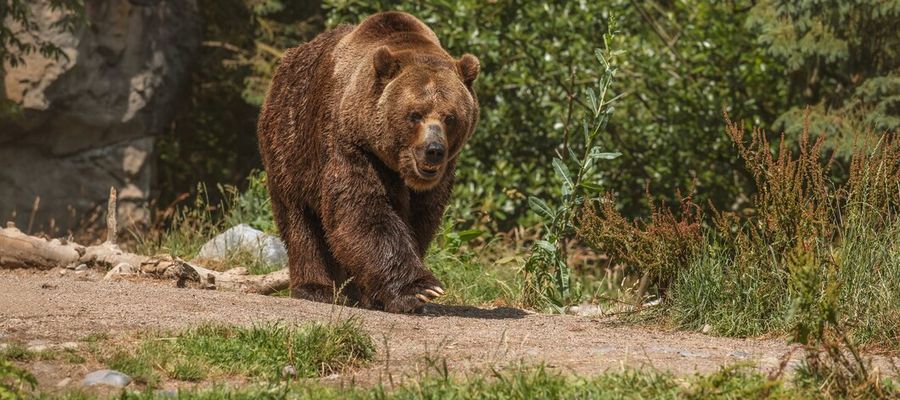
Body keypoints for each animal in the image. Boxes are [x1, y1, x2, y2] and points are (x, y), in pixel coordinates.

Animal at [255, 11, 478, 312]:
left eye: (450, 117)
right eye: (415, 114)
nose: (433, 150)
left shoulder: (435, 181)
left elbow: (420, 220)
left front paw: (382, 294)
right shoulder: (352, 144)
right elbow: (362, 210)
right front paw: (420, 289)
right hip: (290, 143)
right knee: (299, 219)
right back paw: (315, 287)